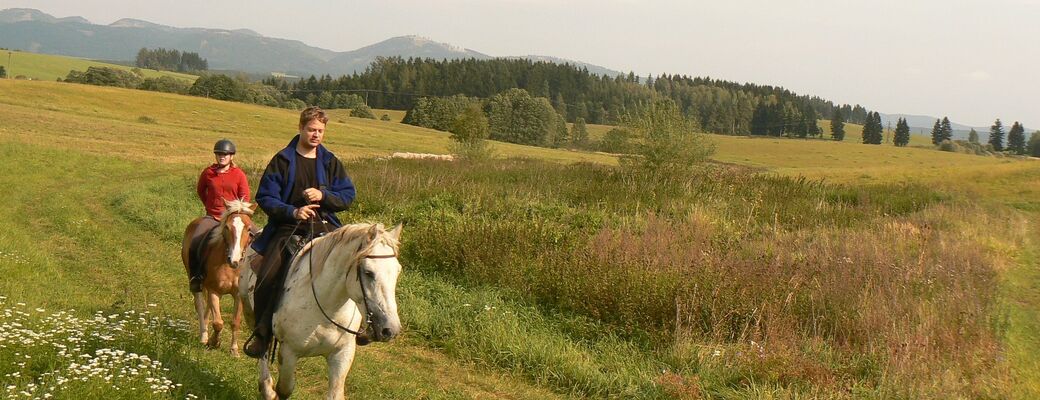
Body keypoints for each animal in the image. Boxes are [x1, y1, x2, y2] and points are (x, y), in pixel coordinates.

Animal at [180, 199, 257, 355]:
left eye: (248, 229)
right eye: (227, 227)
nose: (234, 260)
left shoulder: (238, 295)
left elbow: (235, 322)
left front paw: (234, 350)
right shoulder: (213, 290)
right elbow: (218, 323)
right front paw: (214, 342)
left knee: (208, 309)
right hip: (195, 281)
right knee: (200, 305)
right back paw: (203, 336)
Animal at [239, 222, 401, 396]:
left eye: (398, 271)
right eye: (368, 272)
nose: (391, 329)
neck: (326, 309)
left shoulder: (342, 354)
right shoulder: (289, 353)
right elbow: (284, 389)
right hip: (248, 311)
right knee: (263, 345)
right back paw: (266, 387)